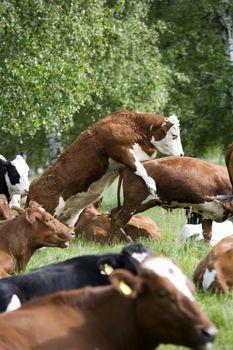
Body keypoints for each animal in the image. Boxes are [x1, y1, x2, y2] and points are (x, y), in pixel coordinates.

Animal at [27, 110, 184, 228]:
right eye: (174, 135)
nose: (182, 154)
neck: (133, 126)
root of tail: (33, 185)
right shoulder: (120, 151)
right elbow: (140, 169)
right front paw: (152, 186)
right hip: (48, 209)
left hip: (70, 215)